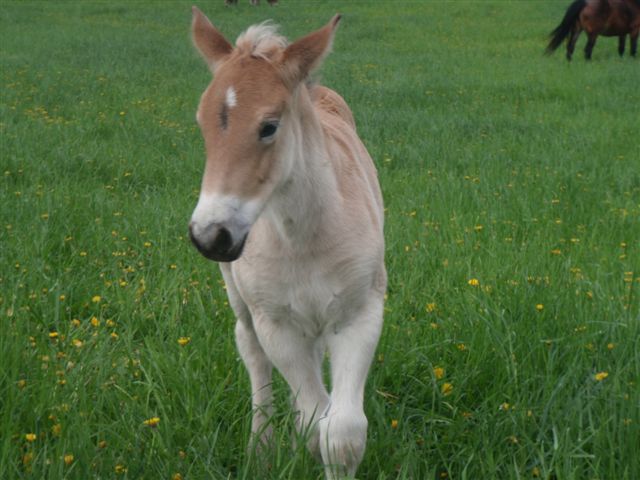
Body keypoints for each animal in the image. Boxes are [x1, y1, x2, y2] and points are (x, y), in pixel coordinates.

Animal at [185, 8, 384, 480]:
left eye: (269, 127)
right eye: (202, 124)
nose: (210, 234)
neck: (304, 236)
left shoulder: (360, 313)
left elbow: (341, 432)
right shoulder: (276, 324)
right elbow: (315, 419)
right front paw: (288, 445)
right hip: (242, 298)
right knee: (252, 350)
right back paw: (262, 445)